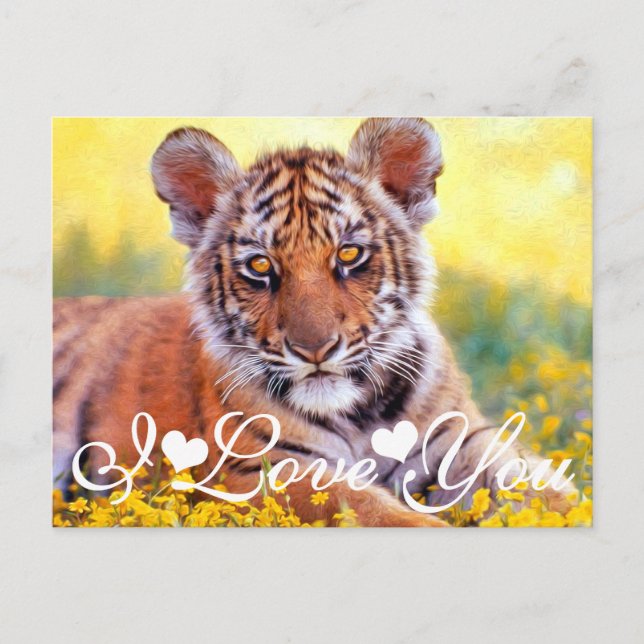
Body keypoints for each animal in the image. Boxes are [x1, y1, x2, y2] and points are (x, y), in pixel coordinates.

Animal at [53, 118, 574, 527]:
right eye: (260, 266)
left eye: (349, 254)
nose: (315, 350)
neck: (362, 415)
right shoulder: (270, 470)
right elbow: (376, 512)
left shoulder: (460, 440)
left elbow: (539, 486)